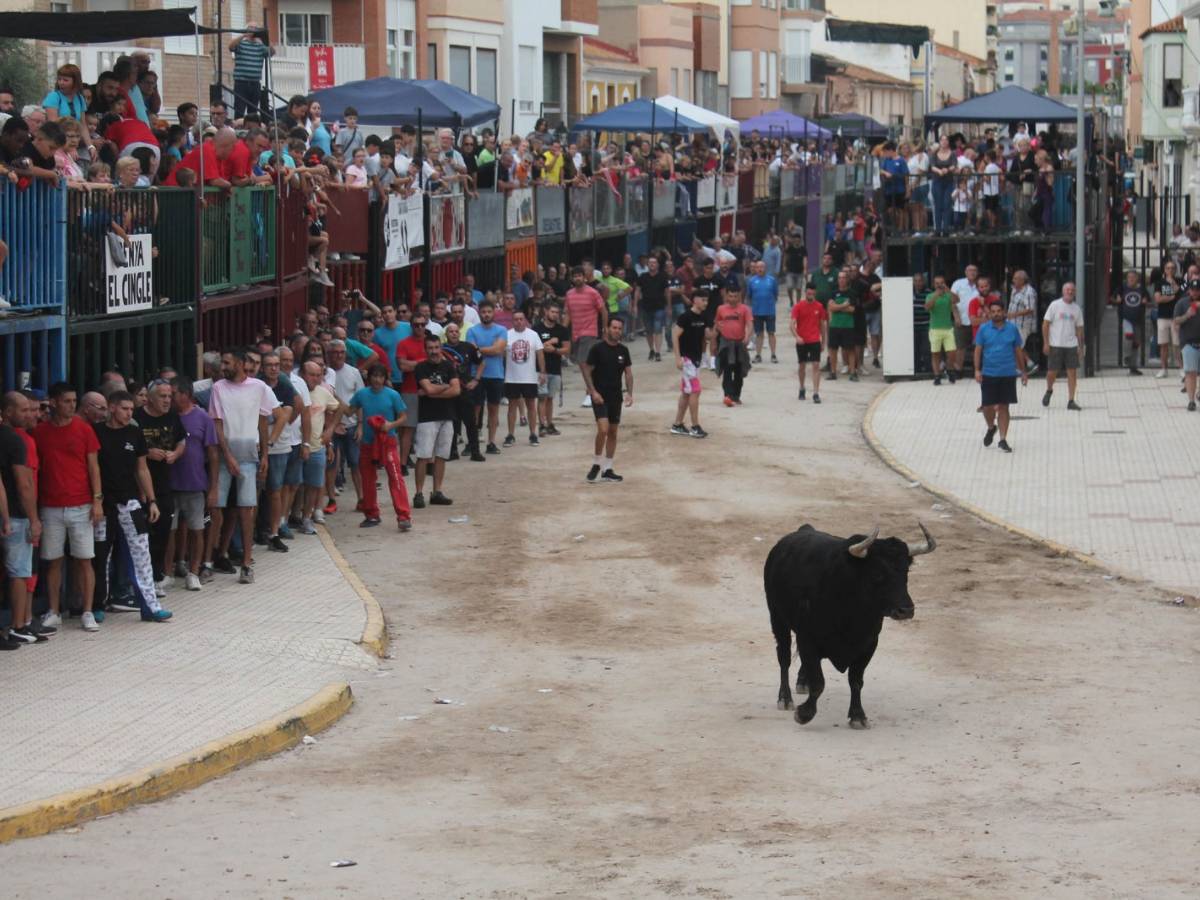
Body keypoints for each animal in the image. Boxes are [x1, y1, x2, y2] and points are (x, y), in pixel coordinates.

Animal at [763, 525, 931, 729]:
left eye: (906, 572)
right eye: (877, 573)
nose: (906, 610)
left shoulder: (868, 644)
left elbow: (856, 680)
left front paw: (858, 716)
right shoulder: (807, 639)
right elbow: (818, 682)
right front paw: (804, 714)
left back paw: (803, 683)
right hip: (777, 619)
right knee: (784, 657)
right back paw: (785, 698)